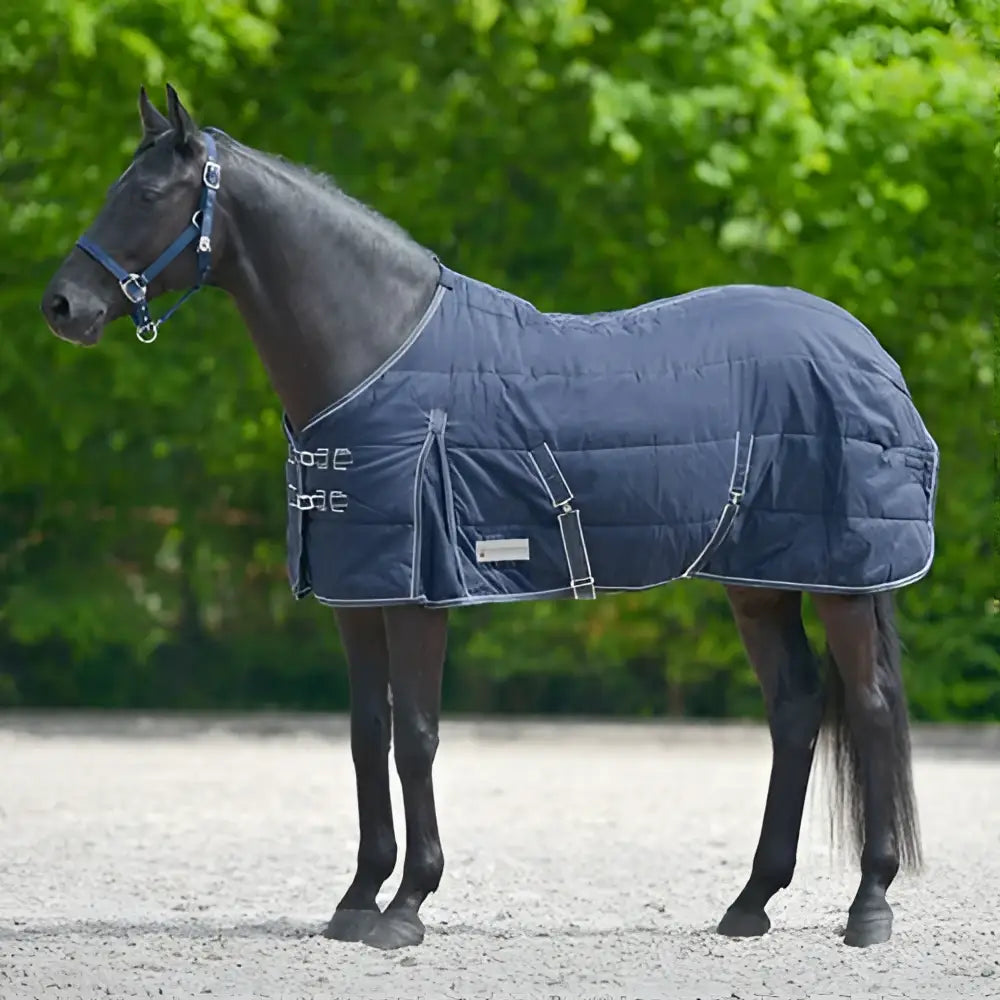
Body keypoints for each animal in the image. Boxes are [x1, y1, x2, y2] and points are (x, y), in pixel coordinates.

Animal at [41, 84, 936, 951]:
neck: (374, 355)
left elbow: (416, 738)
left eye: (148, 194)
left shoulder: (417, 595)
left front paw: (407, 906)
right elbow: (367, 734)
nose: (62, 307)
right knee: (795, 709)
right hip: (758, 581)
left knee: (870, 708)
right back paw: (750, 904)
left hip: (844, 581)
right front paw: (357, 900)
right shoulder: (357, 597)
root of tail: (868, 352)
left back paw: (869, 907)